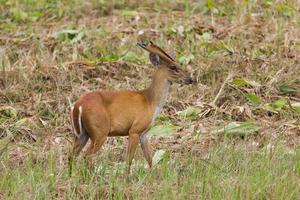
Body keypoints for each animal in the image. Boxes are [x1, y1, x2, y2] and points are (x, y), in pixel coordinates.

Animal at [69, 41, 193, 172]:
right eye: (173, 67)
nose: (190, 79)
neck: (150, 102)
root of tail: (78, 105)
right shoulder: (134, 130)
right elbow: (129, 159)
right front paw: (127, 175)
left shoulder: (144, 133)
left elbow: (149, 158)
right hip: (99, 131)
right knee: (86, 156)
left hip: (82, 133)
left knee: (71, 155)